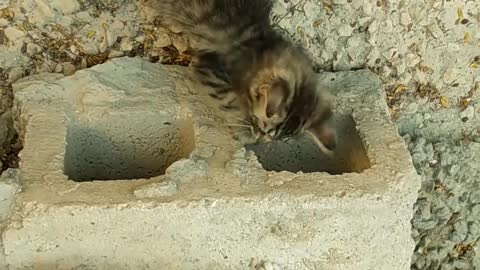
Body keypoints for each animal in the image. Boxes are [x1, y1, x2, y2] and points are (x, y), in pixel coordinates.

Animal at [142, 0, 338, 152]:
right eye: (262, 128)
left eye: (277, 139)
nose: (261, 141)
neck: (260, 44)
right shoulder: (210, 70)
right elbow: (230, 101)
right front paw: (243, 132)